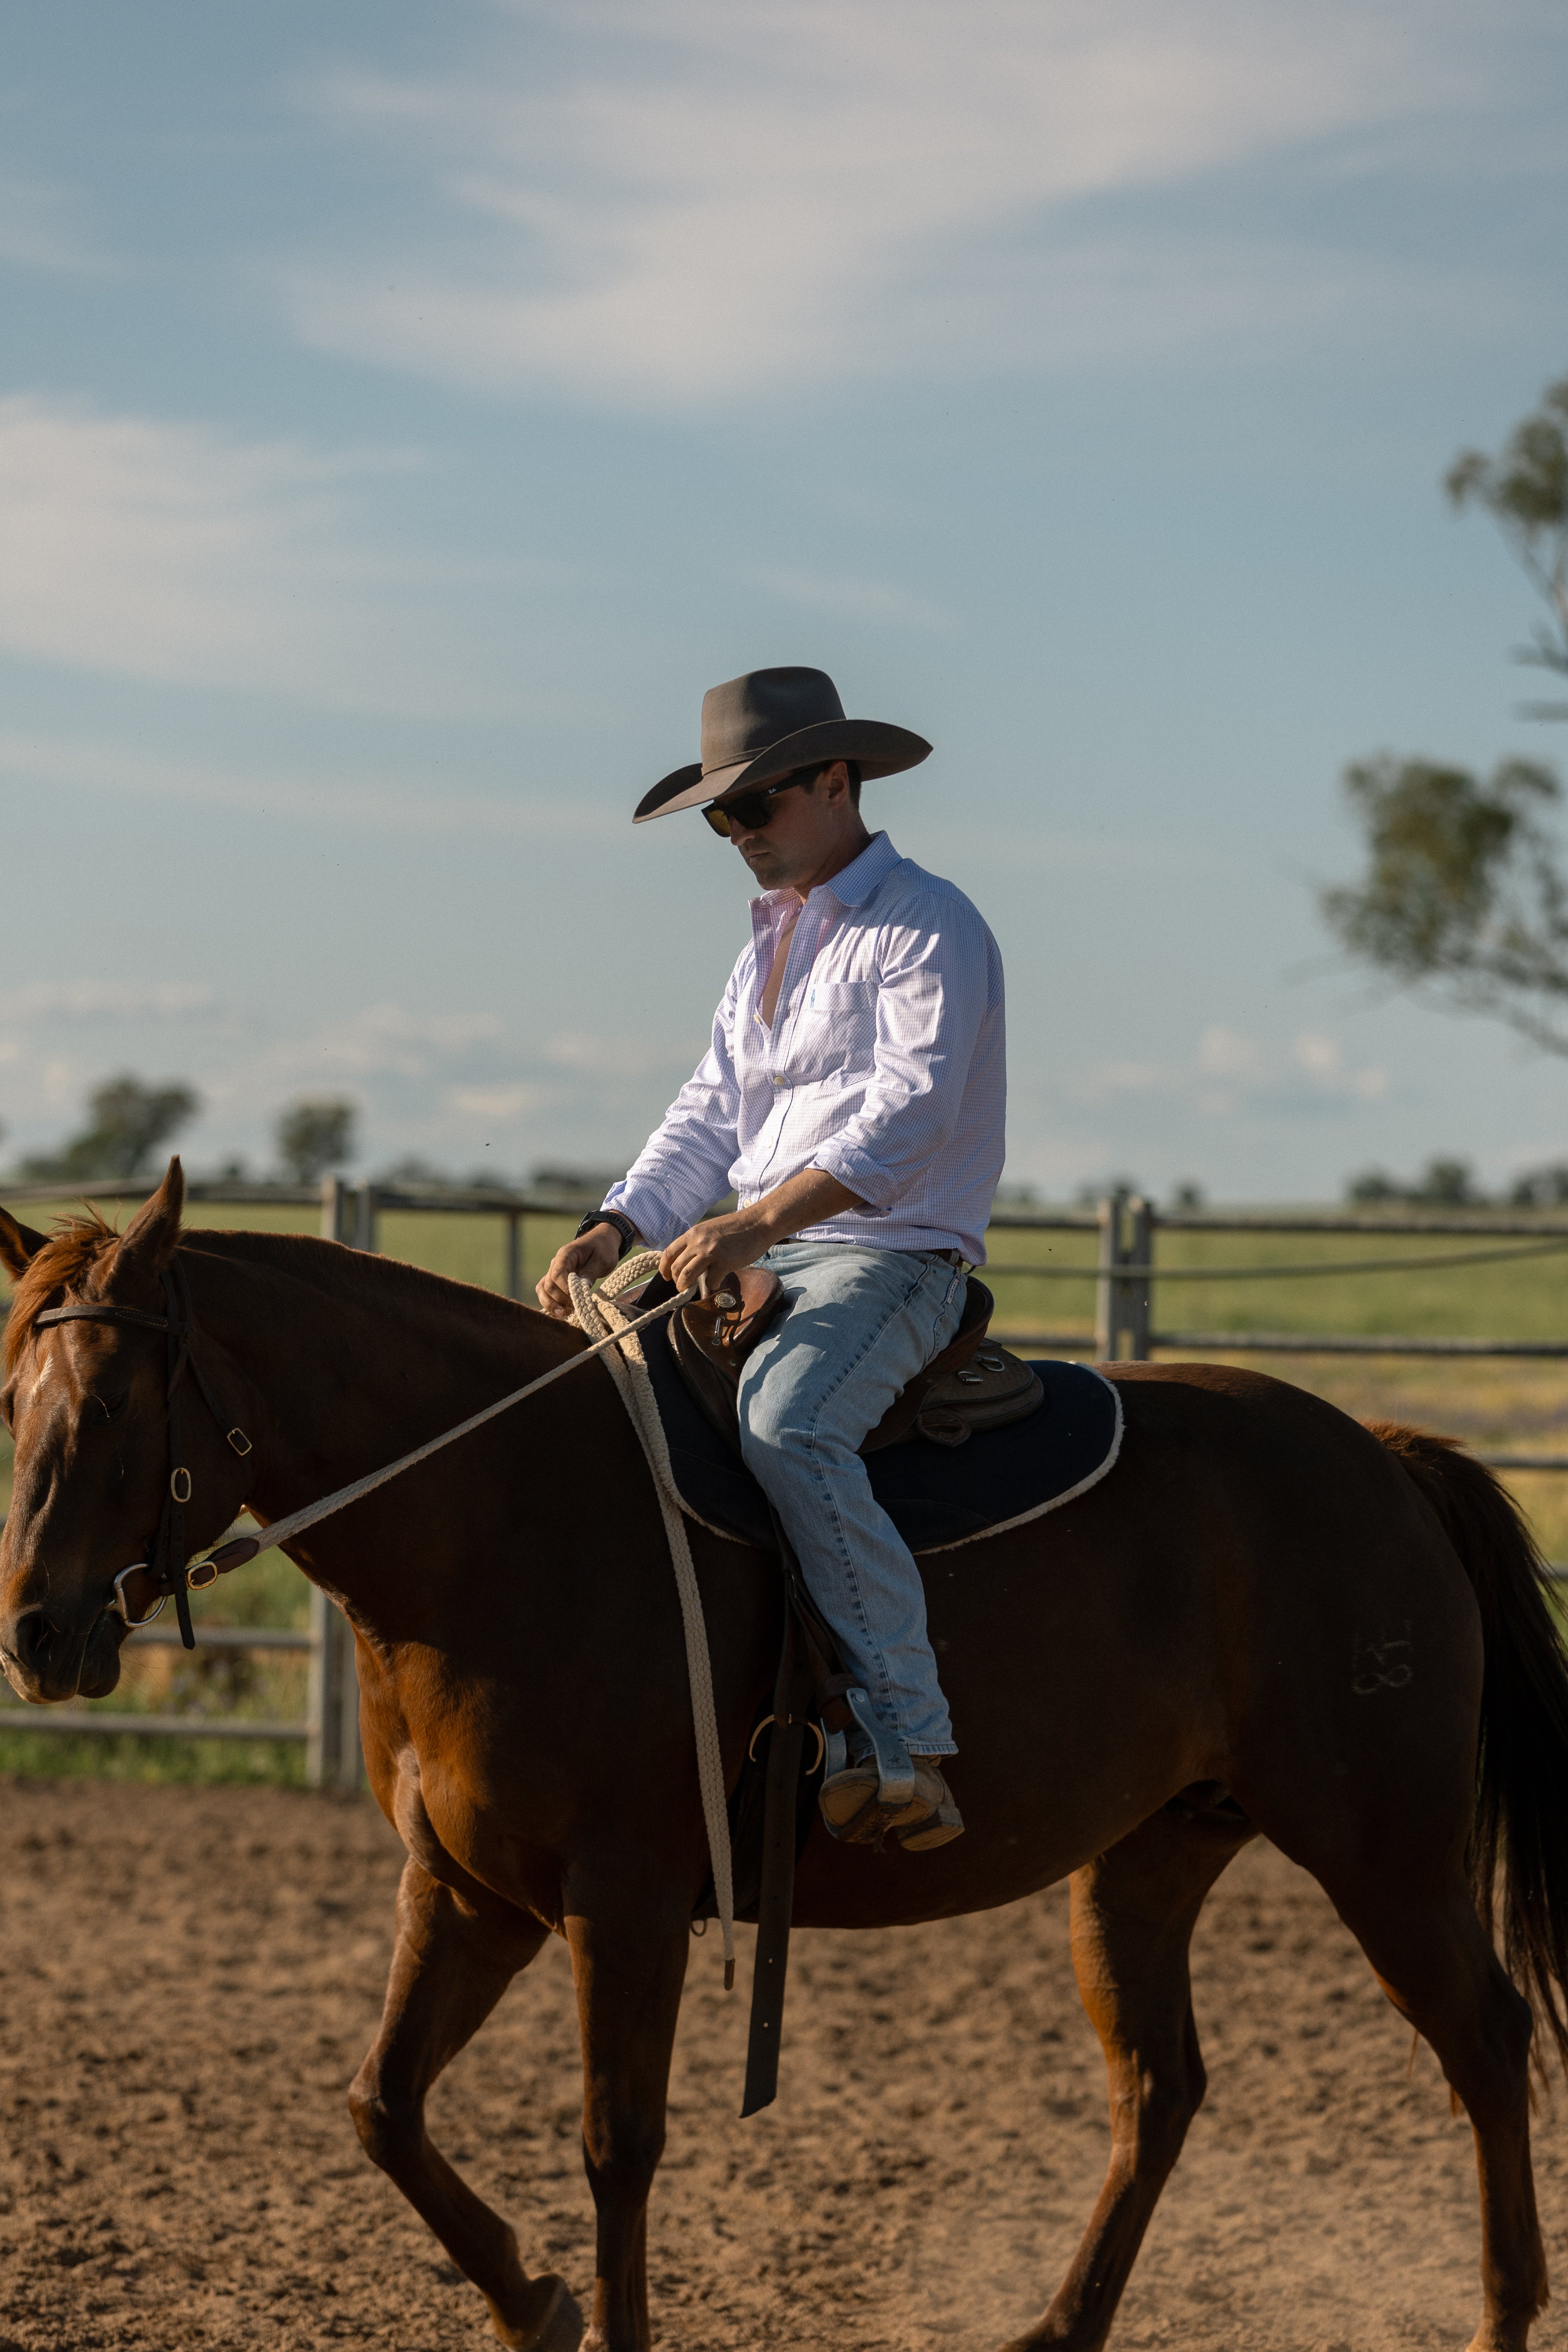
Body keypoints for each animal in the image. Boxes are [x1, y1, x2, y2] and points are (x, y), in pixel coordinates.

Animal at [3, 1162, 1568, 2352]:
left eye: (112, 1404)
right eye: (14, 1400)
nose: (34, 1633)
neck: (500, 1515)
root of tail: (1380, 1449)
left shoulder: (623, 1904)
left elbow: (615, 2141)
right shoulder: (466, 1894)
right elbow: (381, 2105)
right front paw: (534, 2303)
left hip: (1384, 1850)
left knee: (1484, 2042)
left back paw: (1498, 2315)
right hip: (1148, 1854)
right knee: (1160, 2086)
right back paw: (1055, 2326)